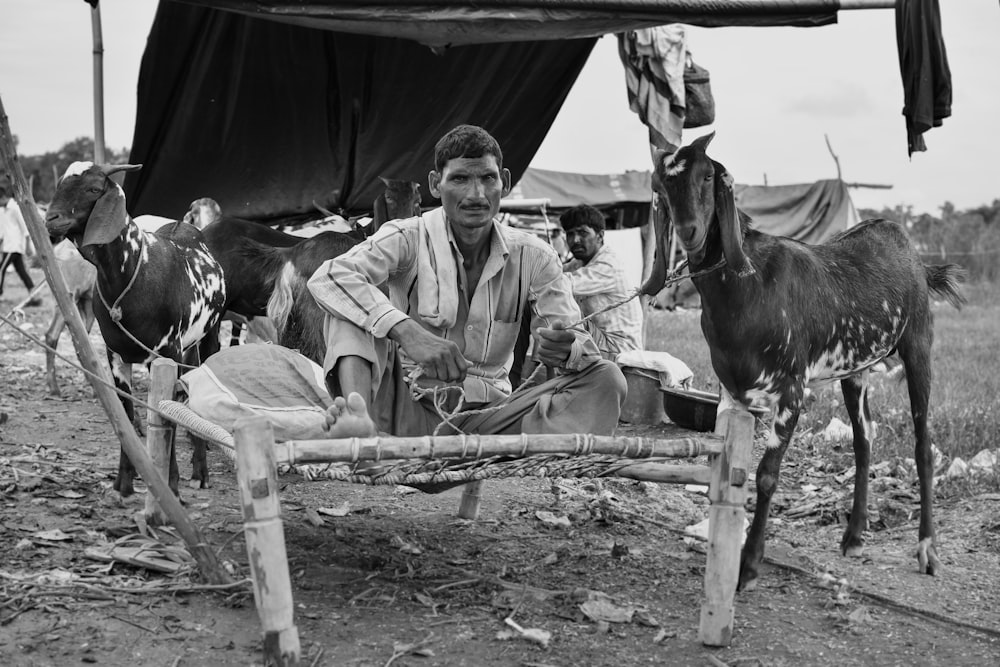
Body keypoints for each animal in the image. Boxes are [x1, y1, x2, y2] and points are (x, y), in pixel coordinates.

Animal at [45, 160, 229, 496]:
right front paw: (125, 482)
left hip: (207, 337)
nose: (50, 219)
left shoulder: (169, 352)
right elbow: (128, 416)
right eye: (60, 183)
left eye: (93, 188)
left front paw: (171, 484)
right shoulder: (116, 355)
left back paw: (201, 471)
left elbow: (166, 414)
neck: (134, 271)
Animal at [644, 133, 964, 592]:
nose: (689, 232)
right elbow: (729, 471)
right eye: (662, 184)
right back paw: (854, 535)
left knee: (923, 446)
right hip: (855, 369)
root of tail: (911, 254)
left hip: (919, 344)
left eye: (707, 175)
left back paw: (927, 550)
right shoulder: (734, 389)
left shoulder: (791, 389)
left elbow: (766, 474)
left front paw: (749, 564)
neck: (748, 286)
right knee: (864, 439)